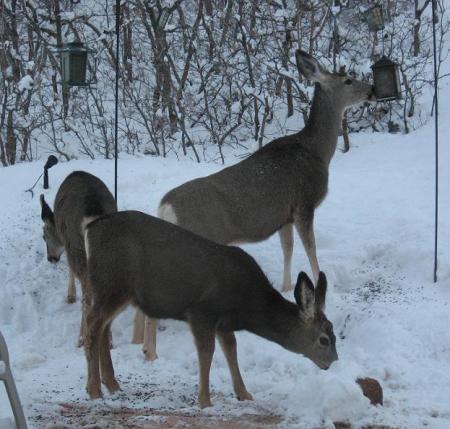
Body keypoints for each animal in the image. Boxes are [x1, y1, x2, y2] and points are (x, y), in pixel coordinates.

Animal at [39, 169, 116, 346]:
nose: (50, 258)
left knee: (87, 300)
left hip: (79, 251)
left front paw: (70, 296)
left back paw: (82, 338)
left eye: (44, 236)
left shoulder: (69, 247)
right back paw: (107, 339)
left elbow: (70, 270)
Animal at [83, 211, 338, 408]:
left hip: (116, 290)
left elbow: (231, 350)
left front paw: (244, 394)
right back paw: (94, 389)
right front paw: (205, 400)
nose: (334, 362)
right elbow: (207, 353)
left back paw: (112, 384)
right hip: (112, 282)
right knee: (93, 323)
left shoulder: (223, 321)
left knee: (103, 326)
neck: (247, 307)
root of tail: (90, 230)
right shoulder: (202, 312)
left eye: (334, 335)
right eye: (324, 339)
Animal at [134, 48, 376, 360]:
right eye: (348, 80)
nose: (372, 90)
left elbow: (288, 248)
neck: (317, 152)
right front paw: (320, 287)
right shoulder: (304, 203)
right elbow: (310, 250)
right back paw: (150, 351)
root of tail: (165, 207)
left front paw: (285, 286)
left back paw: (141, 342)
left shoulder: (284, 215)